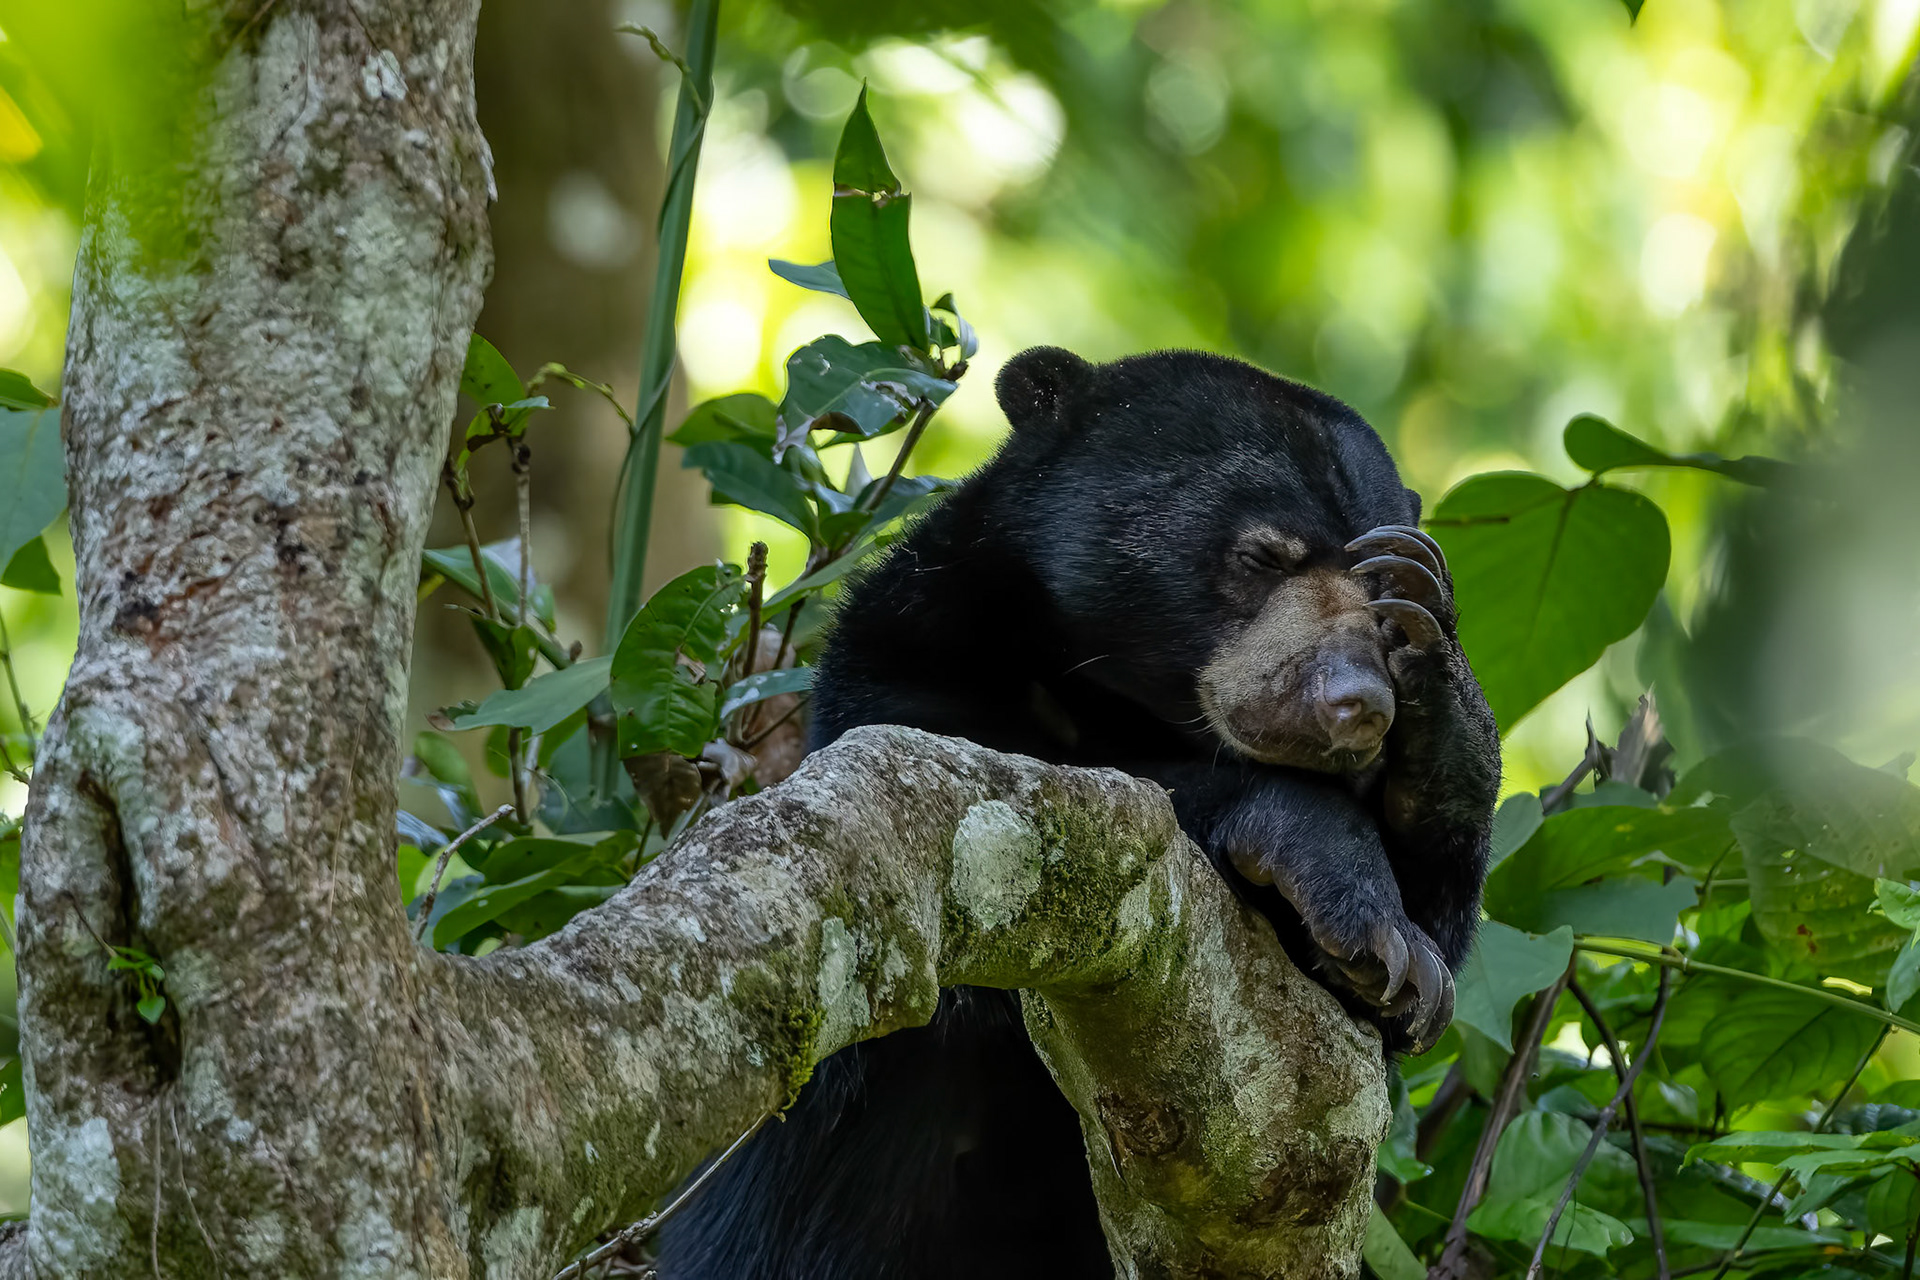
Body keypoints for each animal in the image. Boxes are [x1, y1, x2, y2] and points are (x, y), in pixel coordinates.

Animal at [654, 347, 1501, 1279]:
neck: (1121, 701)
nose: (1356, 704)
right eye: (1263, 556)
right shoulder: (907, 662)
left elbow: (1391, 1005)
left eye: (1381, 600)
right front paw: (1351, 899)